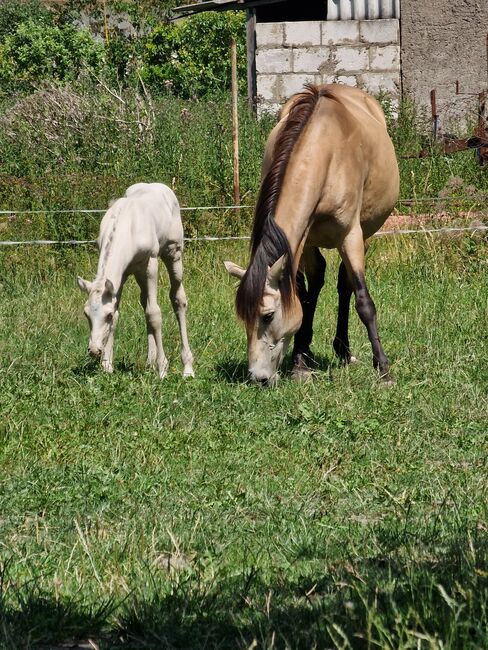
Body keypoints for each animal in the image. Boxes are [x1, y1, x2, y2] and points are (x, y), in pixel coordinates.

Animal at [77, 180, 193, 378]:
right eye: (86, 314)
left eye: (106, 315)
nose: (94, 350)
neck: (127, 226)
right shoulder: (122, 275)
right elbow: (123, 312)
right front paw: (107, 366)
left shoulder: (150, 263)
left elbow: (154, 314)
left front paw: (163, 368)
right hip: (139, 273)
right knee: (145, 301)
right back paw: (149, 362)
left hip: (173, 254)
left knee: (178, 299)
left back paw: (187, 368)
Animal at [225, 83, 400, 382]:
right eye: (243, 318)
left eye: (268, 316)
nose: (258, 377)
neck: (325, 154)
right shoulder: (301, 243)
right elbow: (303, 298)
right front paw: (299, 363)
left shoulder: (351, 237)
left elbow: (363, 301)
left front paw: (383, 369)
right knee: (315, 284)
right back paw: (306, 352)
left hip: (364, 235)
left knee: (345, 285)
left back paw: (343, 350)